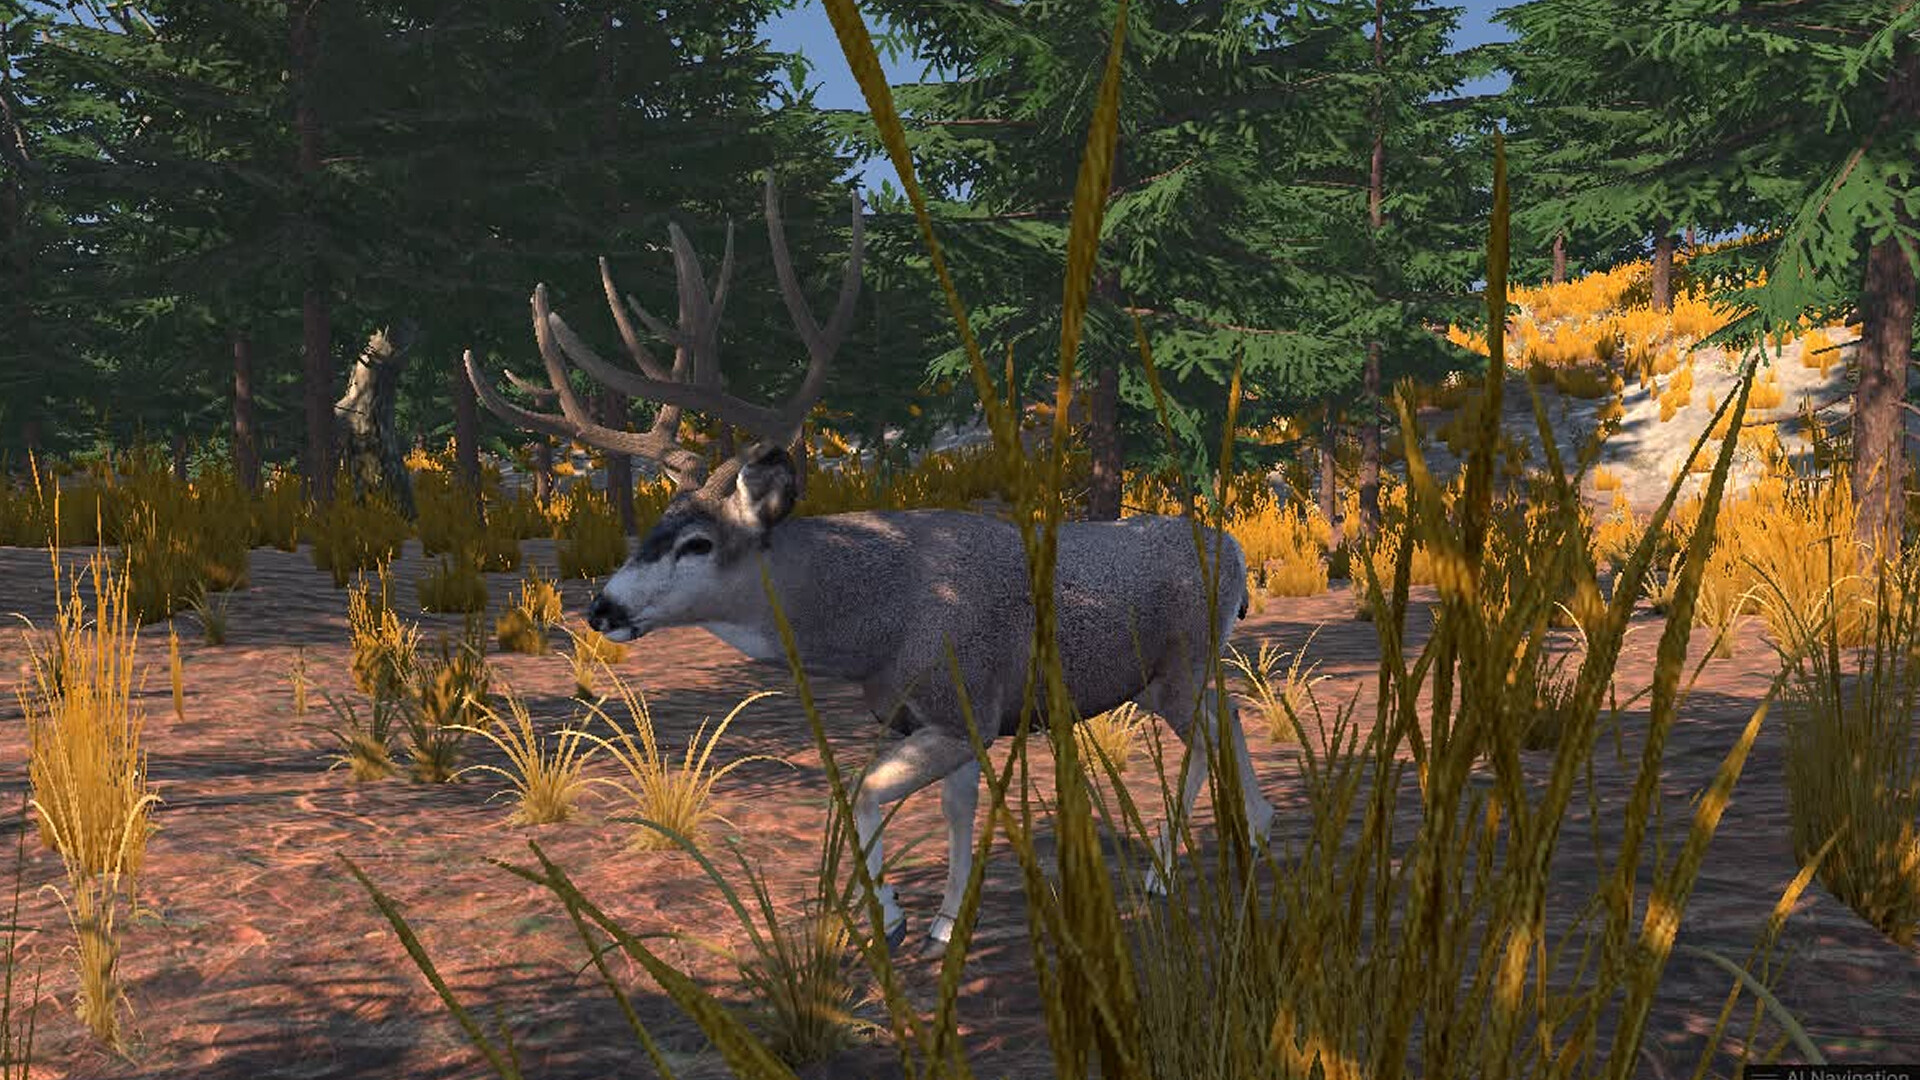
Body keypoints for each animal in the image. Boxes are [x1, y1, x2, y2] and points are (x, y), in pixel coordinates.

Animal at [463, 176, 1276, 953]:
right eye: (655, 528)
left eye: (697, 543)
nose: (602, 608)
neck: (875, 623)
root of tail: (1236, 551)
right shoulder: (942, 713)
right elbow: (952, 805)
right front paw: (943, 919)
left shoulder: (962, 703)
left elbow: (862, 794)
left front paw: (898, 920)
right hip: (1181, 671)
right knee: (1229, 716)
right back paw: (1239, 838)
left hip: (1176, 664)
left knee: (1210, 734)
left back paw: (1187, 863)